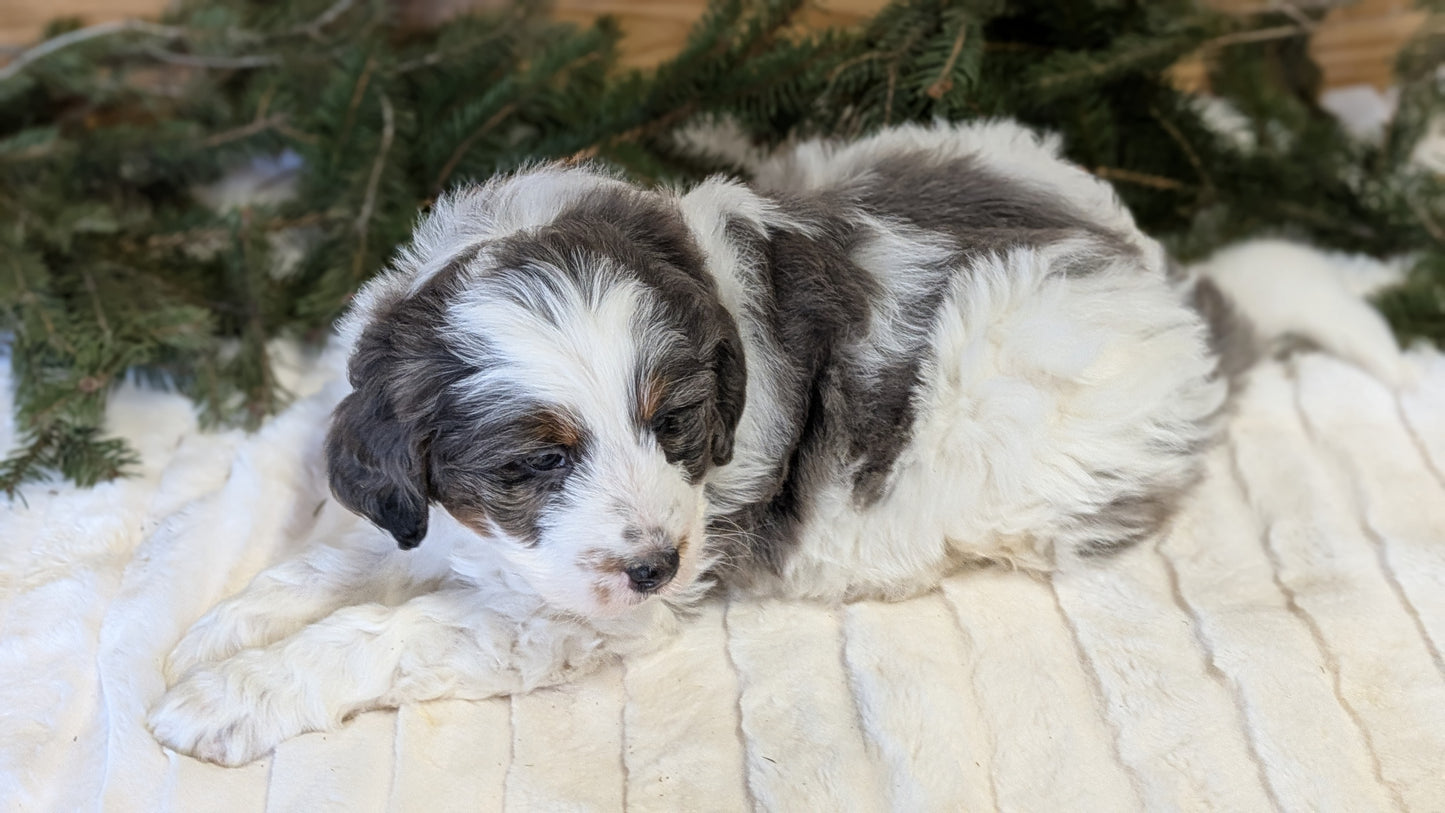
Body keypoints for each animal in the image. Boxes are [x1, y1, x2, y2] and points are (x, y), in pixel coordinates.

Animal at [149, 119, 1312, 762]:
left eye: (675, 424)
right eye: (536, 463)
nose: (656, 567)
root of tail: (1168, 289)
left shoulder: (574, 621)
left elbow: (384, 630)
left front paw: (222, 698)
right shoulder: (445, 524)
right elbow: (341, 561)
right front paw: (217, 634)